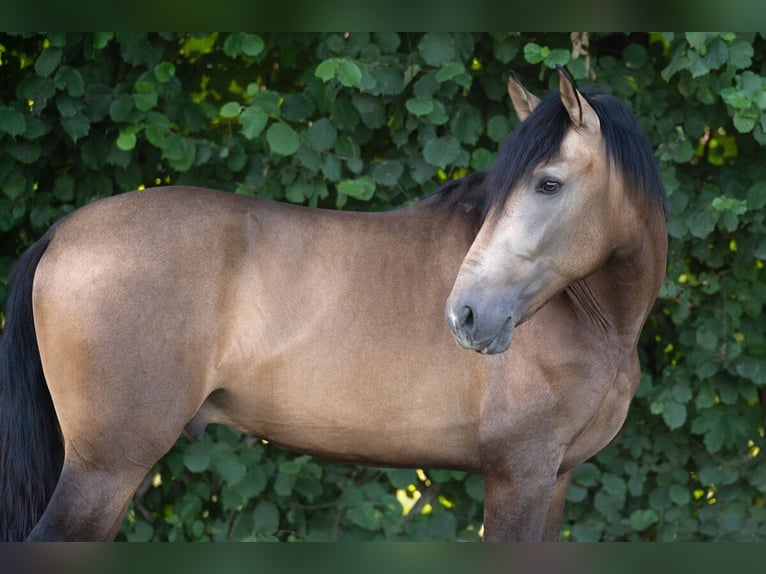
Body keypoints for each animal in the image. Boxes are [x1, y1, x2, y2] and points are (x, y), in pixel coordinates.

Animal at [0, 66, 667, 541]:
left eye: (549, 183)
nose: (467, 314)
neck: (597, 319)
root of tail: (62, 233)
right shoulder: (518, 475)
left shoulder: (555, 479)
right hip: (105, 469)